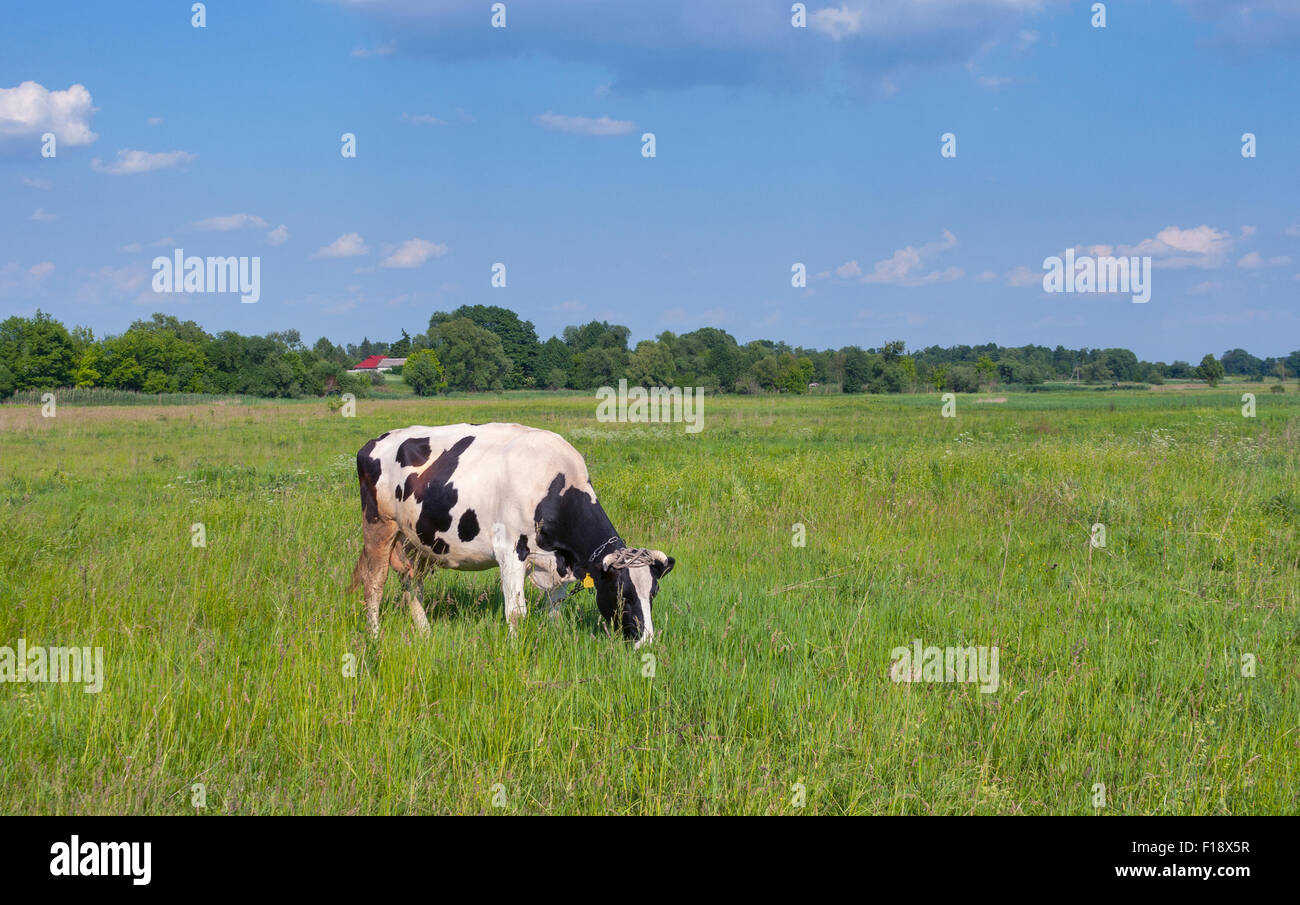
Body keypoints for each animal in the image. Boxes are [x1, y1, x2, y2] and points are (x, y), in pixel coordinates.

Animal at [348, 421, 670, 642]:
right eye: (622, 594)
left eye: (653, 593)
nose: (646, 642)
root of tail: (374, 442)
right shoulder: (510, 551)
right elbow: (516, 612)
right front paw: (515, 652)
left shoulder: (559, 560)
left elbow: (555, 606)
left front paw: (555, 638)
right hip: (379, 526)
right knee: (374, 584)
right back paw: (374, 636)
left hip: (419, 541)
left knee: (412, 582)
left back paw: (425, 633)